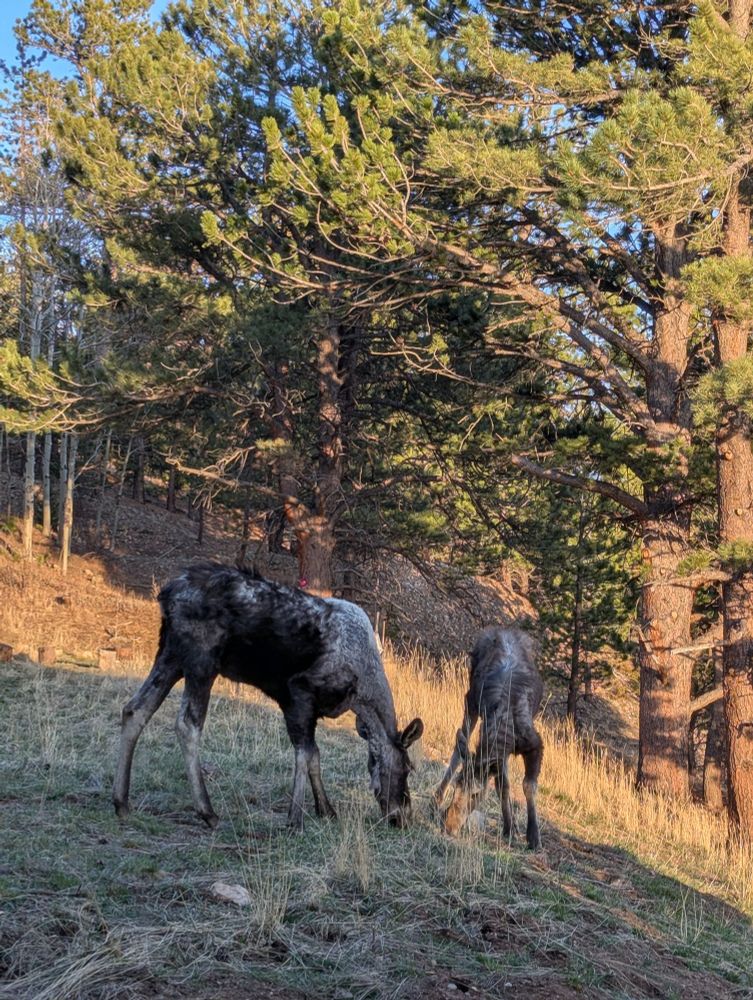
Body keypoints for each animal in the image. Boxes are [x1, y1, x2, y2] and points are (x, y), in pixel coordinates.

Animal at [113, 564, 423, 830]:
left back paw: (122, 802)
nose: (402, 818)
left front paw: (325, 809)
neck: (360, 694)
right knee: (187, 724)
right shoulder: (298, 694)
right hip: (202, 660)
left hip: (171, 655)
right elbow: (306, 754)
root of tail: (166, 594)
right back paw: (207, 811)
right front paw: (295, 818)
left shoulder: (307, 709)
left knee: (135, 709)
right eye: (408, 767)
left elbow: (314, 755)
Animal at [435, 627, 543, 849]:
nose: (449, 826)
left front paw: (532, 836)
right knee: (460, 744)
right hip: (470, 699)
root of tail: (504, 630)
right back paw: (437, 796)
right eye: (457, 785)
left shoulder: (534, 744)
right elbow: (503, 785)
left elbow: (527, 785)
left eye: (476, 793)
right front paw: (510, 828)